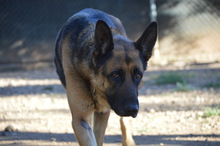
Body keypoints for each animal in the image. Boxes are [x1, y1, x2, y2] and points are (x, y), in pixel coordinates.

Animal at [54, 8, 158, 145]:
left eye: (138, 75)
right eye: (115, 75)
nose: (133, 109)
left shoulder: (103, 114)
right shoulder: (80, 120)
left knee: (124, 122)